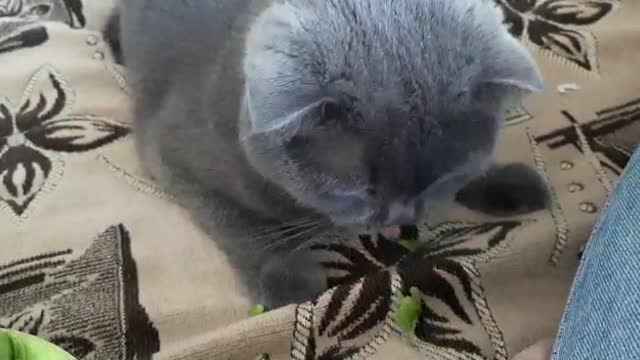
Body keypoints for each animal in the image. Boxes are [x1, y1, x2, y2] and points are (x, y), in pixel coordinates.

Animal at [109, 0, 544, 310]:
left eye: (440, 180)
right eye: (360, 192)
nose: (399, 219)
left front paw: (509, 183)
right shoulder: (170, 153)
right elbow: (239, 224)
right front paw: (286, 278)